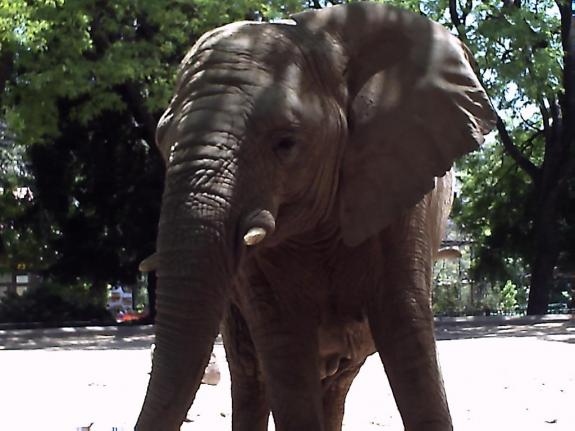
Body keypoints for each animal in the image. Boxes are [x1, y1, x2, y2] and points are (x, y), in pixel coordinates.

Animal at [136, 3, 496, 431]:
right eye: (161, 144)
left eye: (286, 143)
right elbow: (286, 345)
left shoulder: (405, 190)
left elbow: (406, 328)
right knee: (252, 374)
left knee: (338, 380)